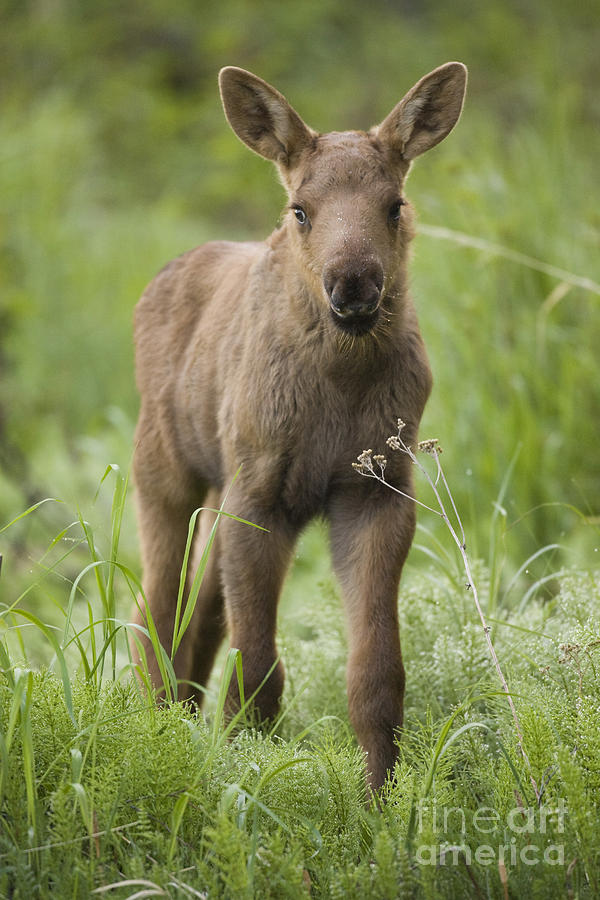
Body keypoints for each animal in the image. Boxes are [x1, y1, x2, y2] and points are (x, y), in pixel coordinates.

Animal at [132, 63, 468, 792]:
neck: (340, 388)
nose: (354, 284)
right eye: (300, 210)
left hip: (217, 490)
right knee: (156, 610)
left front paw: (381, 798)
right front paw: (249, 774)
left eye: (394, 204)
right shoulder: (260, 493)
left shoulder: (376, 491)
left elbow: (376, 675)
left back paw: (181, 720)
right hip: (166, 471)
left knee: (199, 616)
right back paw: (156, 728)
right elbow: (258, 674)